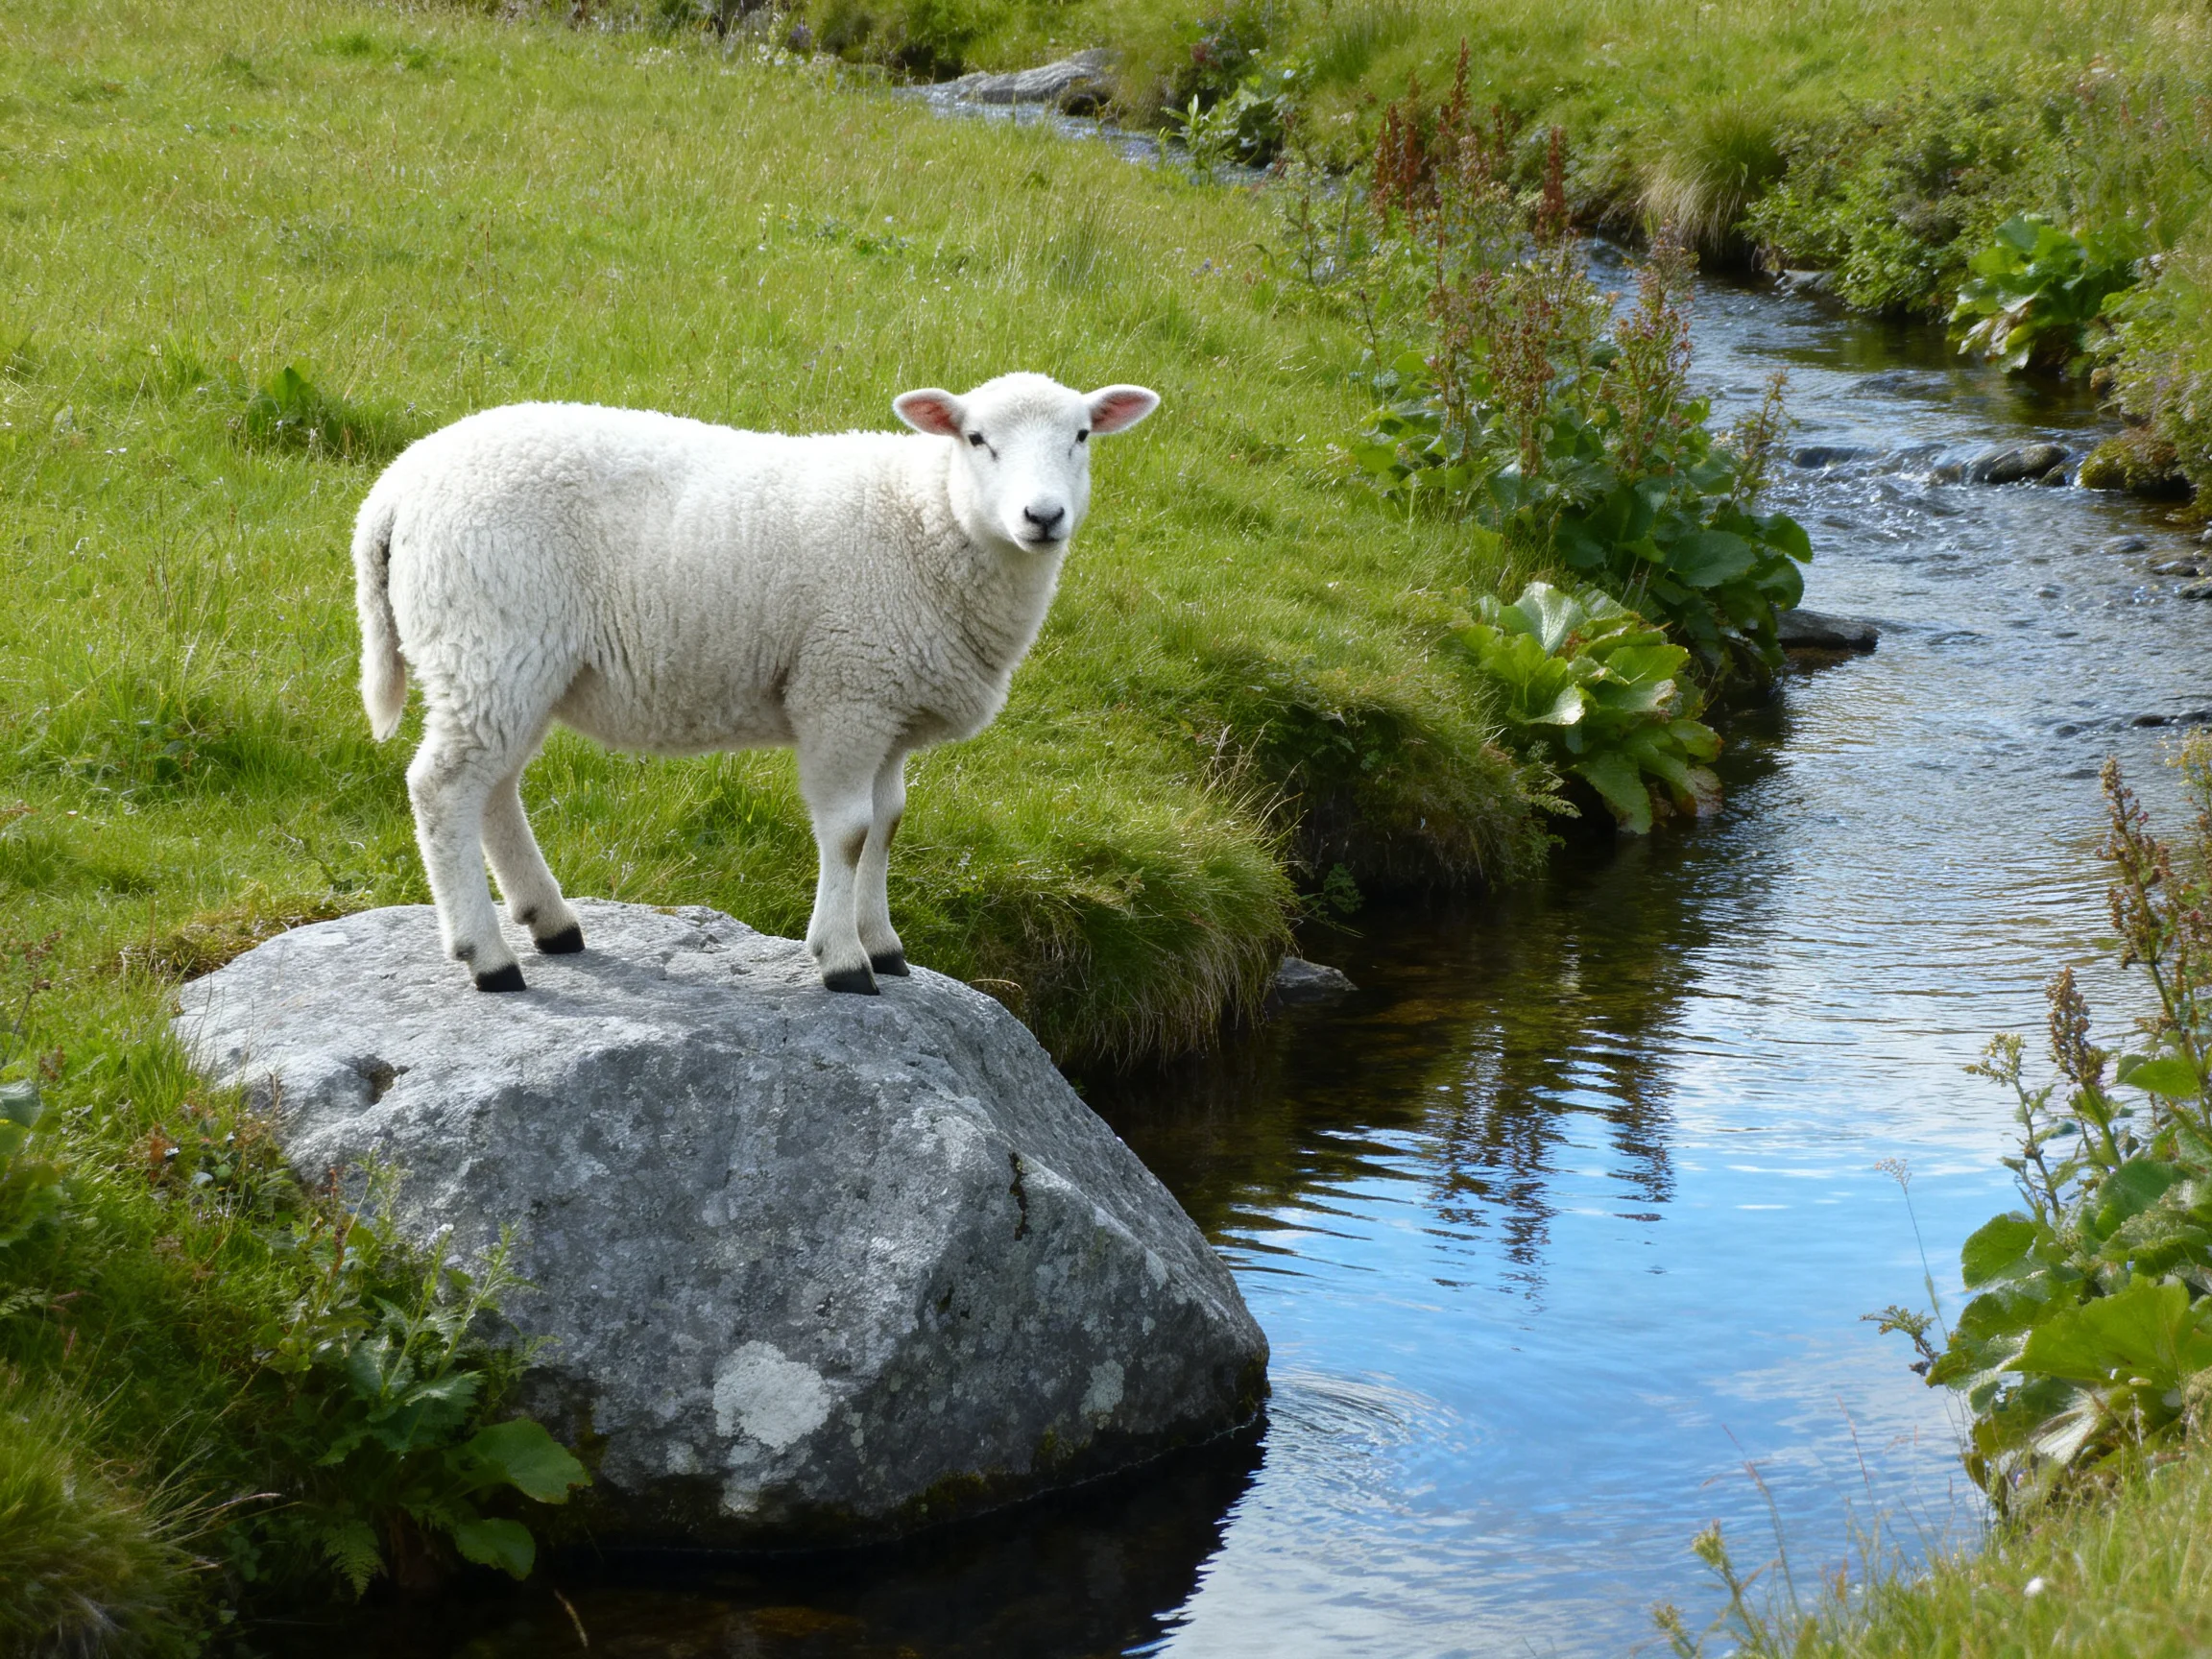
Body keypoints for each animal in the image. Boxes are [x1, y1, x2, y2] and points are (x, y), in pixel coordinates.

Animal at [352, 372, 1159, 996]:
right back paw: (488, 960)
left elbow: (889, 823)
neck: (927, 518)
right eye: (977, 438)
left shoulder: (889, 705)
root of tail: (392, 490)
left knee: (494, 790)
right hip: (490, 640)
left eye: (1082, 436)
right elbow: (850, 831)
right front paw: (842, 960)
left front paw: (884, 945)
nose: (1042, 516)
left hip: (517, 667)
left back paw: (550, 923)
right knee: (443, 788)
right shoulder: (844, 691)